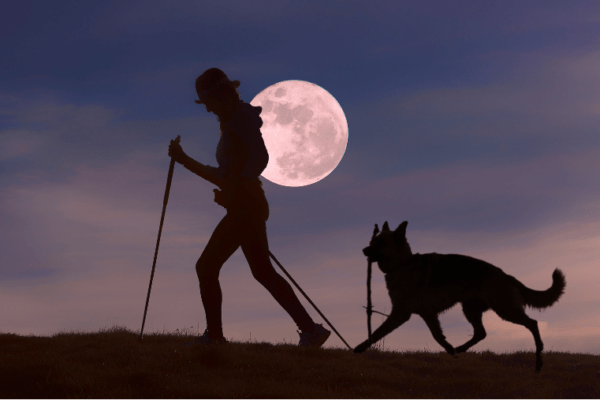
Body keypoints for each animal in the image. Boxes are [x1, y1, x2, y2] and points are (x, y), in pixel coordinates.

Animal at [356, 219, 568, 372]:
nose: (363, 250)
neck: (403, 263)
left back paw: (539, 356)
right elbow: (437, 336)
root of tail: (507, 276)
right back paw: (460, 348)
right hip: (471, 309)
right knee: (481, 333)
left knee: (532, 323)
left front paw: (358, 348)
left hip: (504, 309)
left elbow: (377, 332)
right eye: (372, 241)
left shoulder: (401, 313)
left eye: (380, 243)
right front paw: (450, 349)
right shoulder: (428, 314)